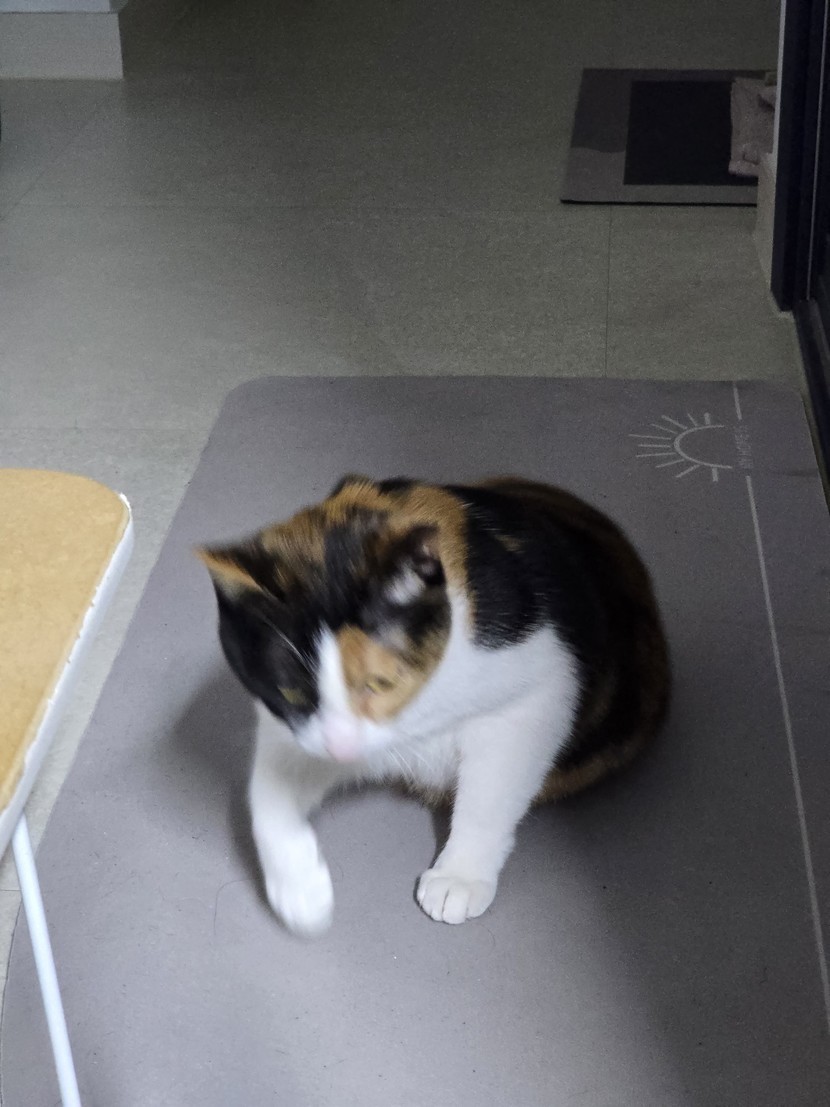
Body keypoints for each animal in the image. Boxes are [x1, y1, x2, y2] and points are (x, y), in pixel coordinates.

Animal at [199, 474, 669, 935]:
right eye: (291, 691)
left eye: (380, 682)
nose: (341, 749)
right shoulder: (295, 729)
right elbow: (266, 794)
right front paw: (300, 892)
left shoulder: (540, 695)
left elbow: (488, 797)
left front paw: (460, 876)